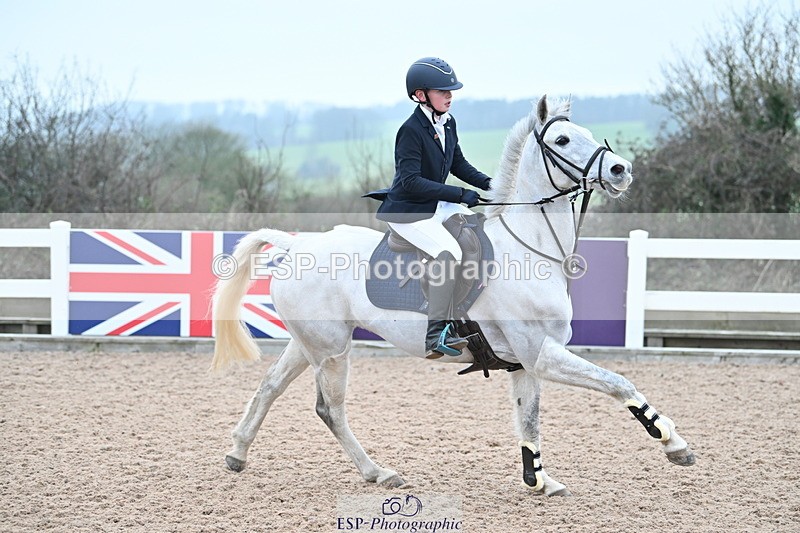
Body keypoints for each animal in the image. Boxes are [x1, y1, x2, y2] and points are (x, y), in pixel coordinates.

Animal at [211, 95, 695, 496]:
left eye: (589, 134)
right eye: (562, 139)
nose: (620, 170)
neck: (530, 248)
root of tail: (296, 245)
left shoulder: (525, 362)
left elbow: (530, 420)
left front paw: (538, 479)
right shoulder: (541, 353)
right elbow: (617, 382)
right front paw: (672, 441)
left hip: (311, 342)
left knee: (270, 387)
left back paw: (237, 453)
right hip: (331, 350)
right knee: (330, 409)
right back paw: (379, 473)